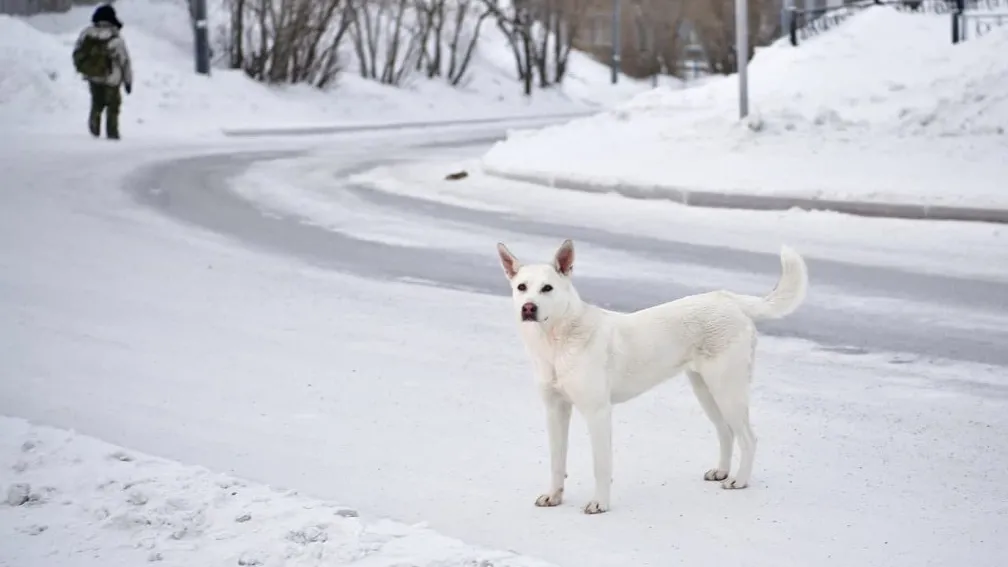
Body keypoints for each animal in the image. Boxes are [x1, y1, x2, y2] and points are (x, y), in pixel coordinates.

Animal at [495, 238, 810, 512]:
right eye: (522, 287)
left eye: (547, 288)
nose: (528, 308)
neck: (556, 343)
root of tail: (729, 299)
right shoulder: (555, 410)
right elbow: (557, 461)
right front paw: (554, 496)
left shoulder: (598, 412)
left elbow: (601, 465)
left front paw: (600, 504)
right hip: (706, 390)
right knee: (726, 432)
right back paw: (722, 471)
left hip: (727, 390)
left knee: (748, 438)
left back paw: (739, 481)